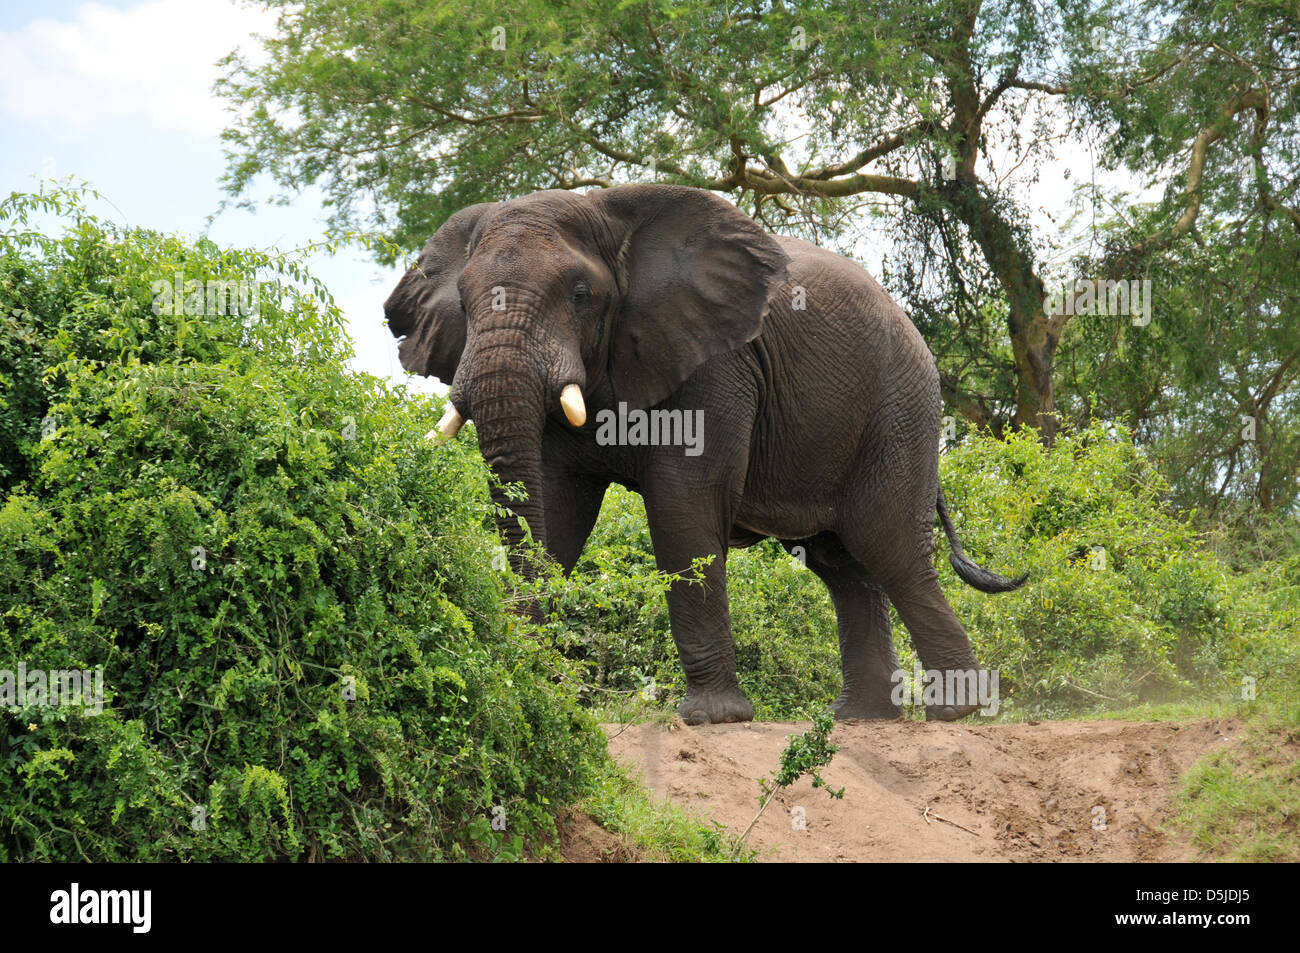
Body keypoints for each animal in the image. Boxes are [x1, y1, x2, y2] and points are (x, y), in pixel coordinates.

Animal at [384, 184, 1024, 722]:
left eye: (582, 295)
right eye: (463, 302)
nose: (538, 677)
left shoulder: (717, 363)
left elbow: (683, 507)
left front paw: (712, 719)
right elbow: (558, 512)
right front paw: (537, 684)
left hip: (900, 406)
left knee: (889, 546)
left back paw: (955, 714)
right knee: (842, 564)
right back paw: (860, 719)